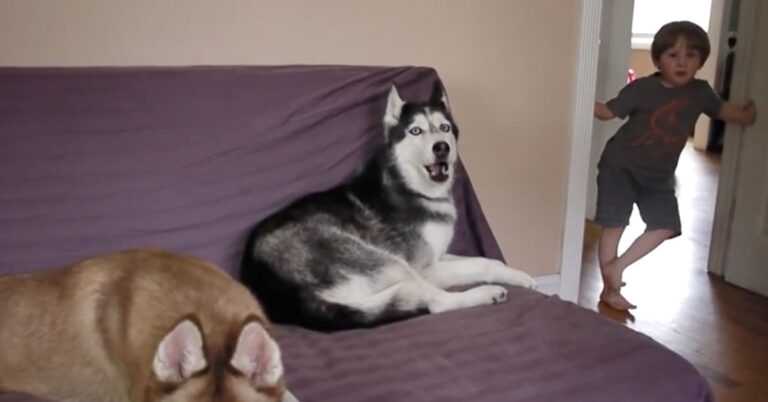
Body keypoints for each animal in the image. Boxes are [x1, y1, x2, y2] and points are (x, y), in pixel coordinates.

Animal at [242, 84, 536, 330]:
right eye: (415, 131)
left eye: (444, 128)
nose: (441, 147)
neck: (410, 186)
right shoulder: (424, 267)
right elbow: (477, 264)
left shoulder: (437, 256)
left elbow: (487, 260)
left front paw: (520, 276)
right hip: (390, 264)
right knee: (436, 302)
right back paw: (486, 293)